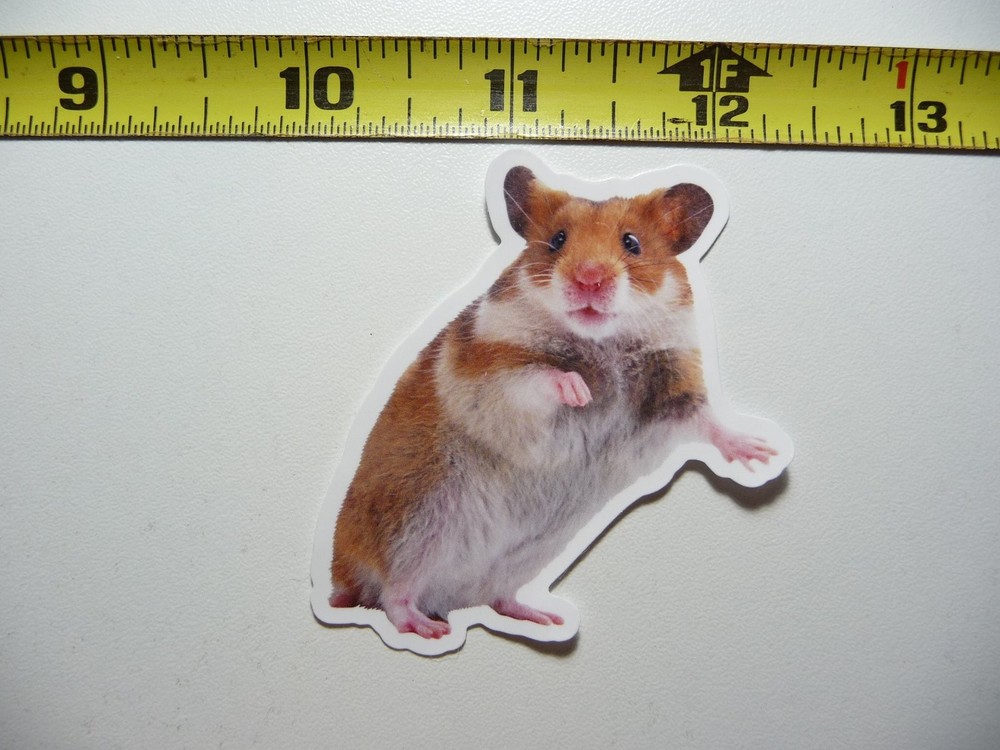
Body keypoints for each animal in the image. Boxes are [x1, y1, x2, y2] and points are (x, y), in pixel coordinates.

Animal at [328, 164, 777, 639]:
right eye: (558, 239)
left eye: (632, 243)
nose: (589, 279)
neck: (602, 342)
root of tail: (340, 573)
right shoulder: (492, 374)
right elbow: (540, 376)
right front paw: (581, 391)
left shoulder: (672, 390)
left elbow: (707, 420)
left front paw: (761, 453)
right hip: (416, 522)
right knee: (392, 593)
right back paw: (427, 628)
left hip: (526, 553)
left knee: (496, 597)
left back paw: (545, 617)